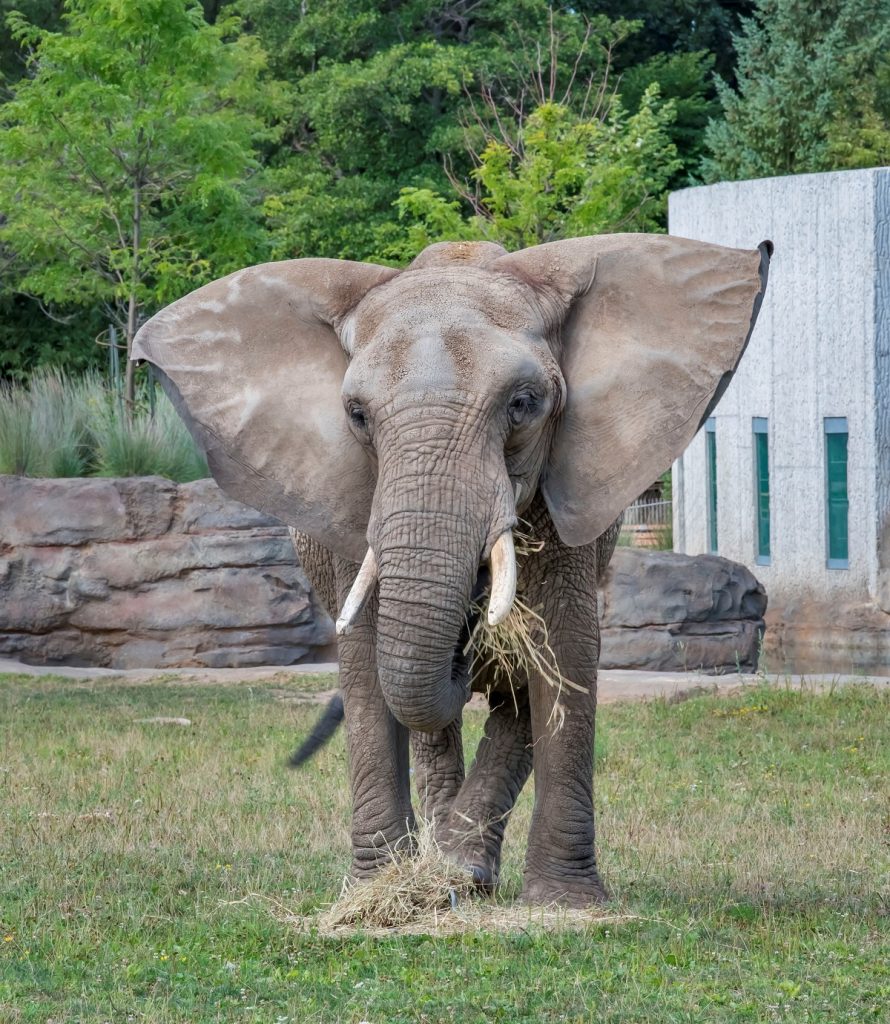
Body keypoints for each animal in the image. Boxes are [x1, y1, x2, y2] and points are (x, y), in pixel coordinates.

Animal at [132, 232, 770, 905]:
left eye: (524, 404)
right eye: (356, 414)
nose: (468, 644)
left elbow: (561, 650)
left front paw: (565, 904)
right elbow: (369, 660)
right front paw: (375, 894)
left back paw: (462, 870)